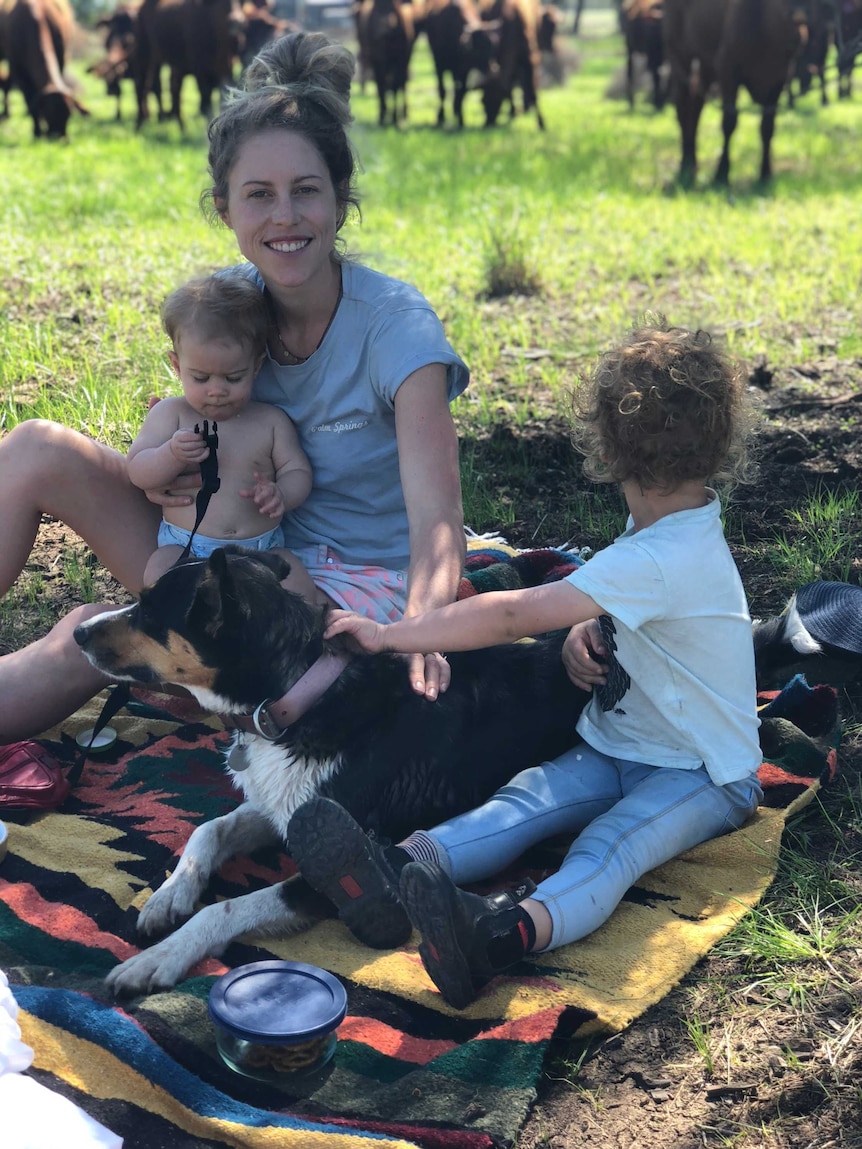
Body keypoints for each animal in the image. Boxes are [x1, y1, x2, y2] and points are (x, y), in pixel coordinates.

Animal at [0, 0, 88, 137]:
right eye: (49, 113)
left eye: (68, 114)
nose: (59, 137)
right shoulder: (17, 67)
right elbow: (29, 99)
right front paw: (37, 132)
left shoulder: (62, 58)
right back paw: (6, 114)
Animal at [74, 549, 593, 997]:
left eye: (148, 610)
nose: (78, 631)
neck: (298, 699)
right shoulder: (283, 805)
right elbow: (208, 830)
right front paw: (169, 895)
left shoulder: (321, 877)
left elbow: (225, 906)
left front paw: (159, 957)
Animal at [662, 0, 809, 186]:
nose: (799, 33)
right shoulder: (727, 69)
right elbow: (729, 121)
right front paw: (721, 174)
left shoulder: (780, 78)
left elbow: (767, 126)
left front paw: (765, 174)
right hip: (680, 58)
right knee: (683, 109)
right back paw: (686, 166)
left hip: (705, 68)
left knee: (695, 109)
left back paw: (692, 165)